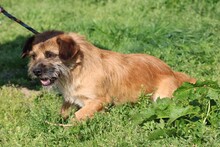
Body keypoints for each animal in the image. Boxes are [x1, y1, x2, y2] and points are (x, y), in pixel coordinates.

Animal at [22, 30, 196, 121]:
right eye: (33, 56)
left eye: (50, 54)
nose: (36, 72)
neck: (77, 70)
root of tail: (173, 72)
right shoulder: (70, 99)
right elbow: (63, 111)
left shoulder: (99, 101)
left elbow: (78, 115)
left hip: (161, 97)